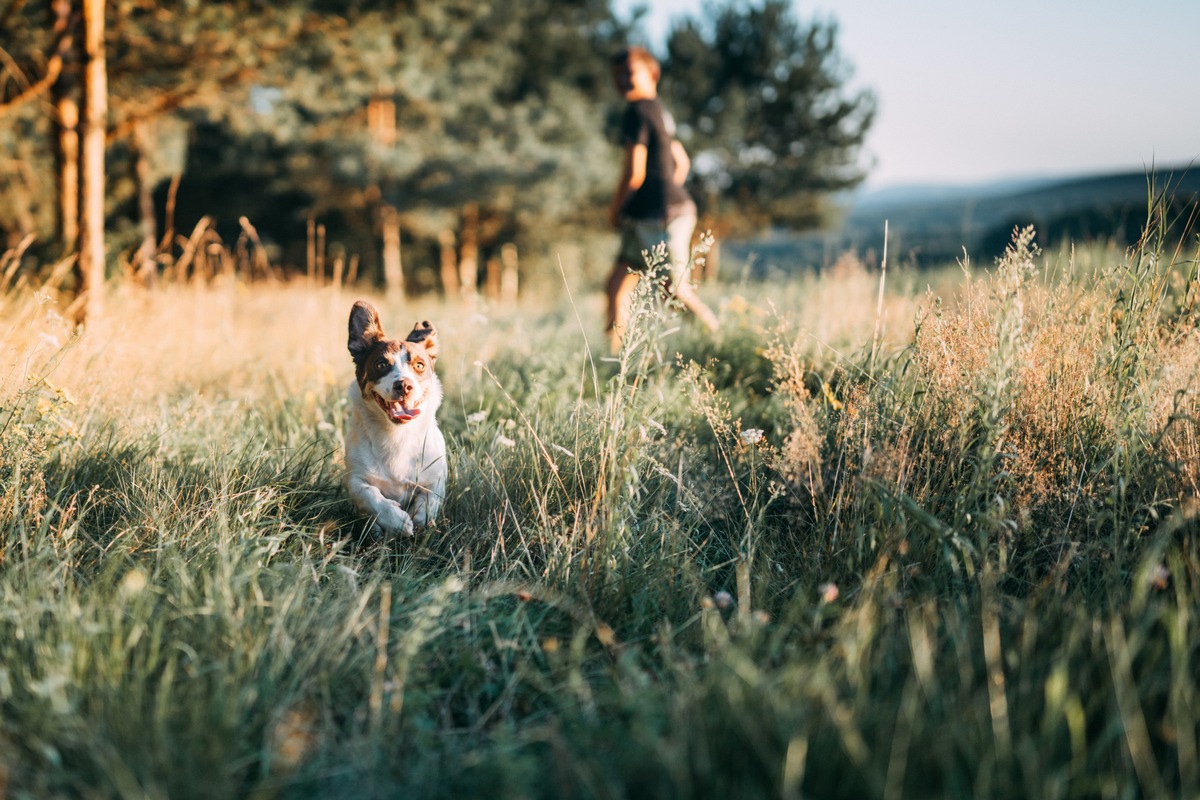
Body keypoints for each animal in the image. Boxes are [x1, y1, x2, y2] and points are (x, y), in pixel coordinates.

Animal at [343, 299, 446, 537]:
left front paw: (421, 517)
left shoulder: (437, 477)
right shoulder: (354, 479)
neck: (397, 433)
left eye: (419, 365)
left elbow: (430, 499)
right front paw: (396, 520)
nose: (404, 385)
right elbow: (370, 496)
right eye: (381, 364)